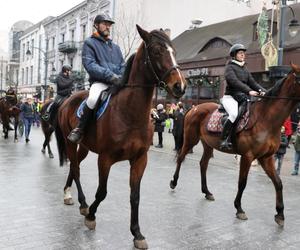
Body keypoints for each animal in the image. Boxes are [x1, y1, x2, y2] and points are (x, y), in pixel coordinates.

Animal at [54, 25, 185, 248]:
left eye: (174, 51)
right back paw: (82, 202)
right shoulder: (105, 159)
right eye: (157, 51)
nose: (180, 86)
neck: (129, 112)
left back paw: (71, 195)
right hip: (71, 143)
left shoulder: (140, 159)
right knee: (76, 169)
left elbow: (135, 196)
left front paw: (137, 233)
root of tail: (67, 100)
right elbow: (102, 192)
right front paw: (91, 216)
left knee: (74, 165)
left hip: (85, 147)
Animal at [170, 63, 300, 229]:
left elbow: (278, 183)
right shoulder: (247, 156)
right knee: (181, 158)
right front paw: (239, 208)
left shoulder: (266, 158)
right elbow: (242, 183)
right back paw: (174, 182)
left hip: (208, 145)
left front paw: (280, 214)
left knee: (203, 164)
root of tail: (193, 108)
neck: (266, 119)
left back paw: (207, 192)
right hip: (191, 140)